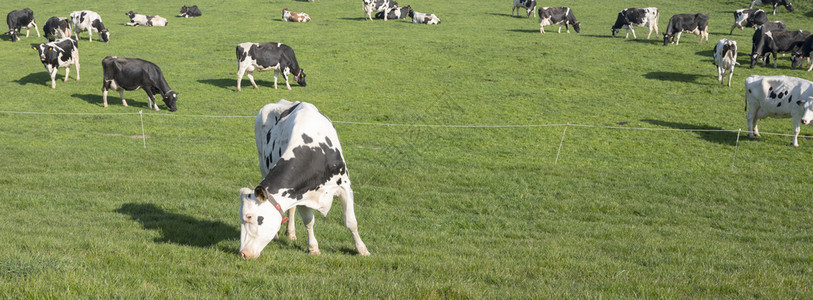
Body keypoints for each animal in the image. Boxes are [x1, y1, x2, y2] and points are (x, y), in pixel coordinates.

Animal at [239, 99, 370, 258]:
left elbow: (351, 222)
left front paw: (362, 249)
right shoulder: (299, 193)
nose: (243, 253)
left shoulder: (344, 185)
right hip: (262, 165)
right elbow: (309, 221)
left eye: (249, 217)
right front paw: (313, 248)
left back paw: (290, 233)